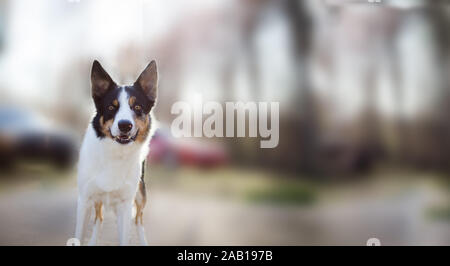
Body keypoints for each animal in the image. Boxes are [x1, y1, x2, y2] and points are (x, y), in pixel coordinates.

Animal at [74, 59, 158, 245]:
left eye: (137, 107)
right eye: (112, 107)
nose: (125, 125)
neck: (115, 153)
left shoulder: (125, 205)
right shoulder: (85, 200)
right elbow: (79, 235)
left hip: (140, 194)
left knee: (139, 219)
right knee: (99, 217)